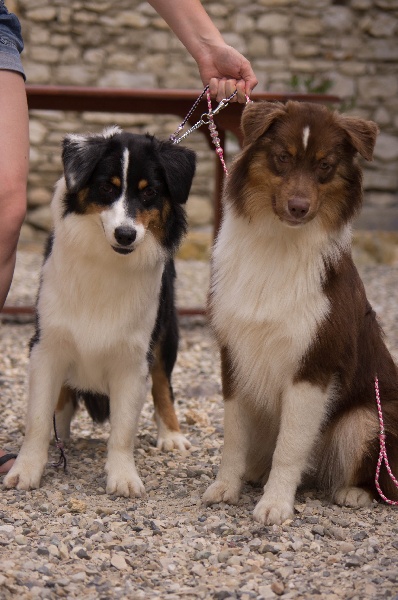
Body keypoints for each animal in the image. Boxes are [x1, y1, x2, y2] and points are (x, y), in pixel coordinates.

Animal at [5, 127, 198, 496]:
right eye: (107, 187)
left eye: (149, 191)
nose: (126, 234)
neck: (107, 263)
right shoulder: (46, 345)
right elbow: (38, 418)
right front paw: (27, 469)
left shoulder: (134, 358)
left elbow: (122, 429)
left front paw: (122, 476)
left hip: (166, 335)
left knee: (163, 384)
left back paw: (171, 435)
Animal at [204, 101, 398, 524]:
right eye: (282, 158)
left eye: (324, 165)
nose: (298, 207)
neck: (279, 244)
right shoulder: (235, 354)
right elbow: (234, 435)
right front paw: (226, 487)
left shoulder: (314, 364)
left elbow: (290, 446)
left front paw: (275, 504)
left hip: (366, 417)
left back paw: (353, 492)